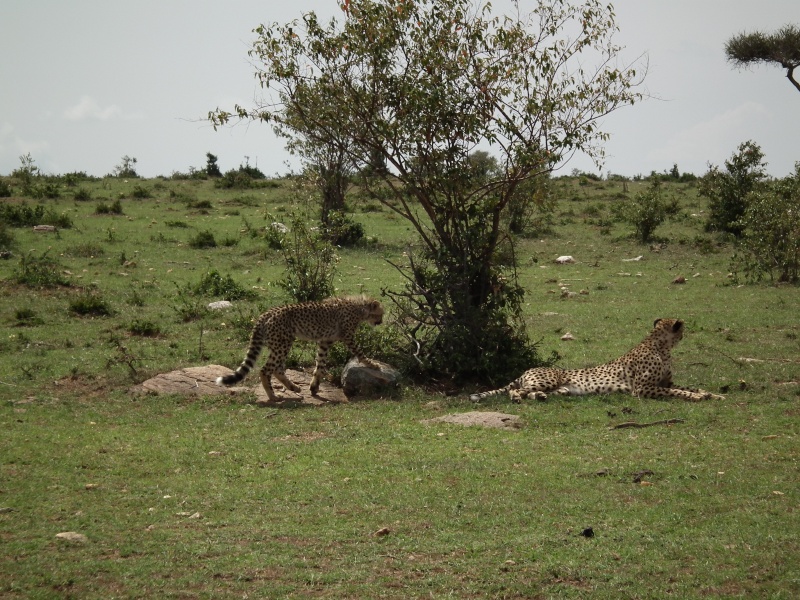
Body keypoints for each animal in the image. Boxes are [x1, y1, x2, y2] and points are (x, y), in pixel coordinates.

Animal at [217, 296, 382, 404]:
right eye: (381, 313)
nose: (380, 322)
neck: (360, 307)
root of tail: (267, 312)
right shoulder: (348, 337)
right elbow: (360, 353)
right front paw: (373, 364)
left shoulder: (325, 341)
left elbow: (320, 364)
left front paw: (314, 387)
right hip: (283, 344)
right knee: (266, 370)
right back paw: (273, 396)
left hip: (279, 345)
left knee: (277, 369)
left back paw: (293, 387)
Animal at [468, 318, 724, 404]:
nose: (685, 335)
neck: (660, 346)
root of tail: (525, 371)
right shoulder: (643, 389)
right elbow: (678, 392)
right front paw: (697, 397)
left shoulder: (664, 382)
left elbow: (689, 386)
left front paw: (713, 394)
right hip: (547, 380)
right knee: (516, 391)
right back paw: (518, 399)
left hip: (562, 389)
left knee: (531, 392)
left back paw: (539, 398)